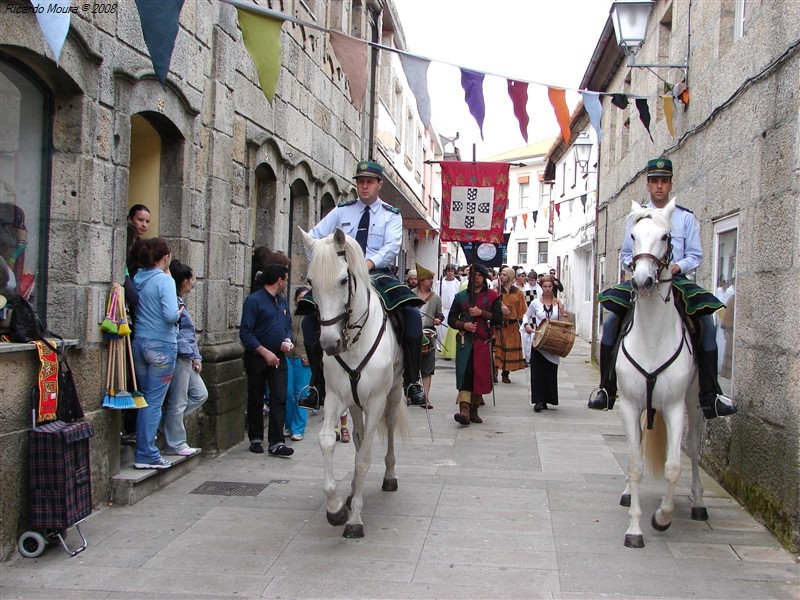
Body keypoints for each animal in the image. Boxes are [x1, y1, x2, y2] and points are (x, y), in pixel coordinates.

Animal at [302, 227, 412, 536]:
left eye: (343, 280)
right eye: (310, 281)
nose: (329, 344)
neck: (353, 340)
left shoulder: (375, 401)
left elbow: (364, 458)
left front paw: (354, 521)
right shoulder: (334, 397)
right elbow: (328, 441)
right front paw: (337, 508)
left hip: (393, 394)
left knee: (387, 429)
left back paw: (389, 476)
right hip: (353, 403)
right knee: (360, 435)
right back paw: (351, 493)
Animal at [612, 198, 708, 548]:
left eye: (666, 237)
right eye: (633, 235)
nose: (642, 282)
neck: (652, 336)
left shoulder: (675, 406)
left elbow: (673, 466)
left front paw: (662, 518)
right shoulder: (629, 404)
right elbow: (636, 463)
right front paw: (634, 529)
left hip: (694, 402)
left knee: (692, 448)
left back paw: (698, 504)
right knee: (636, 448)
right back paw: (628, 493)